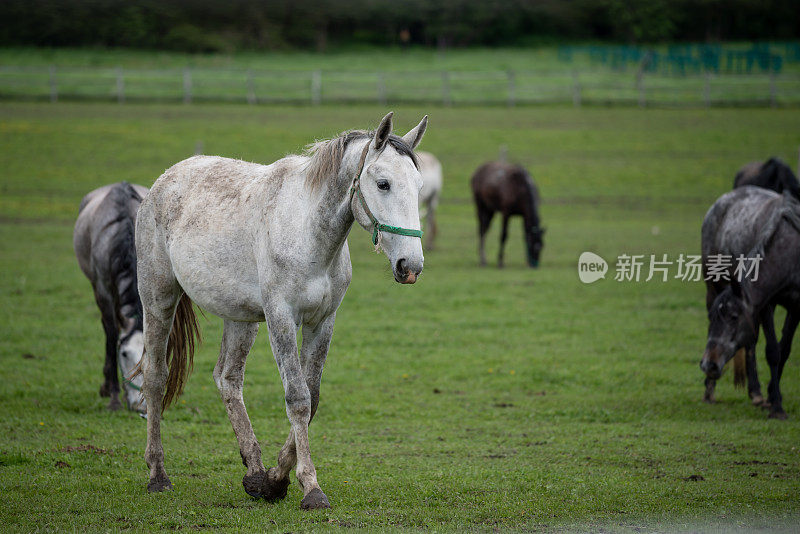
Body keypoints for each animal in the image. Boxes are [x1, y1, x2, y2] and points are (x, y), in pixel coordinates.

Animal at [73, 182, 148, 412]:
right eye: (124, 353)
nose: (140, 406)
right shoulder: (103, 290)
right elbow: (112, 334)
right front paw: (115, 396)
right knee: (107, 327)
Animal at [136, 112, 432, 510]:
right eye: (383, 183)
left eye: (418, 184)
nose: (410, 266)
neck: (308, 233)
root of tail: (165, 180)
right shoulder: (281, 318)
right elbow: (298, 398)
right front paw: (311, 488)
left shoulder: (323, 322)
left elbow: (314, 396)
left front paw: (276, 479)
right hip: (158, 299)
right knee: (155, 378)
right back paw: (158, 475)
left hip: (240, 318)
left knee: (227, 378)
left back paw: (254, 473)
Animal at [700, 186, 800, 420]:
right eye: (711, 318)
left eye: (734, 316)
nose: (709, 364)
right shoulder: (764, 303)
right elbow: (772, 351)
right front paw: (777, 406)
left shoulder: (796, 305)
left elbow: (784, 349)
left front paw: (773, 398)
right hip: (712, 284)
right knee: (752, 343)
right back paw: (712, 390)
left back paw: (757, 393)